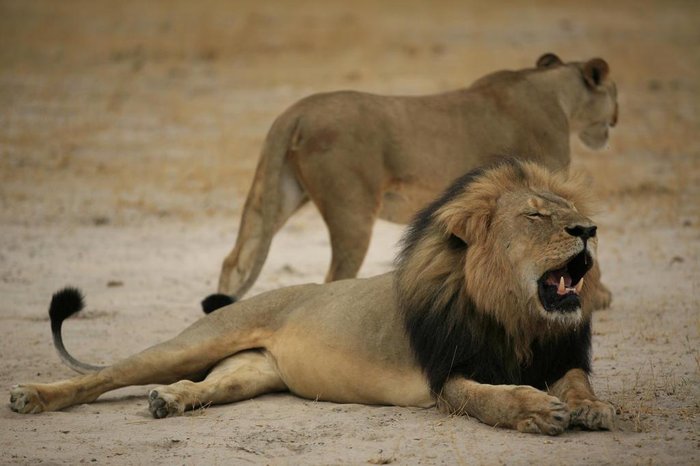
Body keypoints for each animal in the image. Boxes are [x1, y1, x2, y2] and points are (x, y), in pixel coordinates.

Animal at [10, 161, 612, 436]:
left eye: (569, 211)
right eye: (535, 215)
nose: (589, 229)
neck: (516, 317)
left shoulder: (559, 355)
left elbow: (577, 382)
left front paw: (590, 407)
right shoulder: (447, 376)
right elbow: (491, 398)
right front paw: (536, 410)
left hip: (250, 372)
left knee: (208, 385)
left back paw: (170, 401)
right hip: (195, 341)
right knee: (105, 376)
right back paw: (32, 396)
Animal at [209, 53, 616, 310]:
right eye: (614, 93)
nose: (615, 120)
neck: (557, 93)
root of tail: (295, 112)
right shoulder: (543, 186)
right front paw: (597, 297)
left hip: (278, 193)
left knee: (236, 259)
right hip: (351, 210)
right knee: (334, 277)